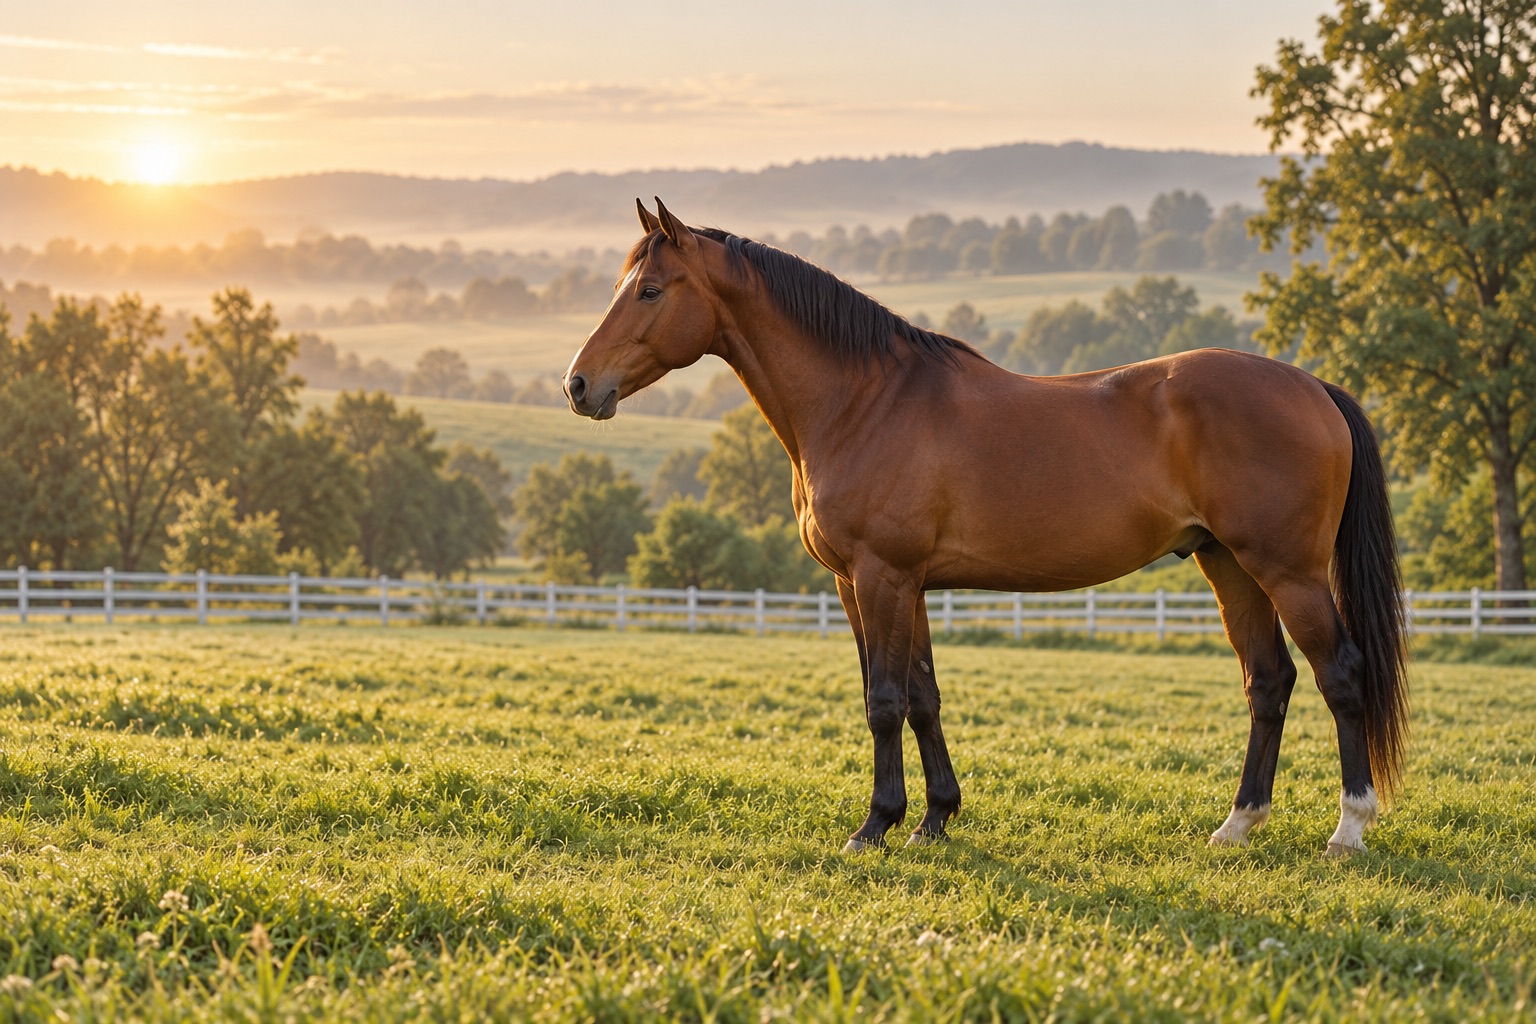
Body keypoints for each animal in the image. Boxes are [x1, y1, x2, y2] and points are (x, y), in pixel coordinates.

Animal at [563, 198, 1408, 857]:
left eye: (649, 290)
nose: (578, 385)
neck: (865, 400)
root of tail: (1313, 386)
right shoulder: (888, 585)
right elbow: (923, 696)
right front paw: (935, 818)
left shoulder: (881, 575)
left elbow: (884, 700)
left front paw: (876, 825)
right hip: (1229, 565)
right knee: (1269, 682)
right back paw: (1237, 825)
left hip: (1289, 572)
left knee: (1341, 675)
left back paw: (1348, 829)